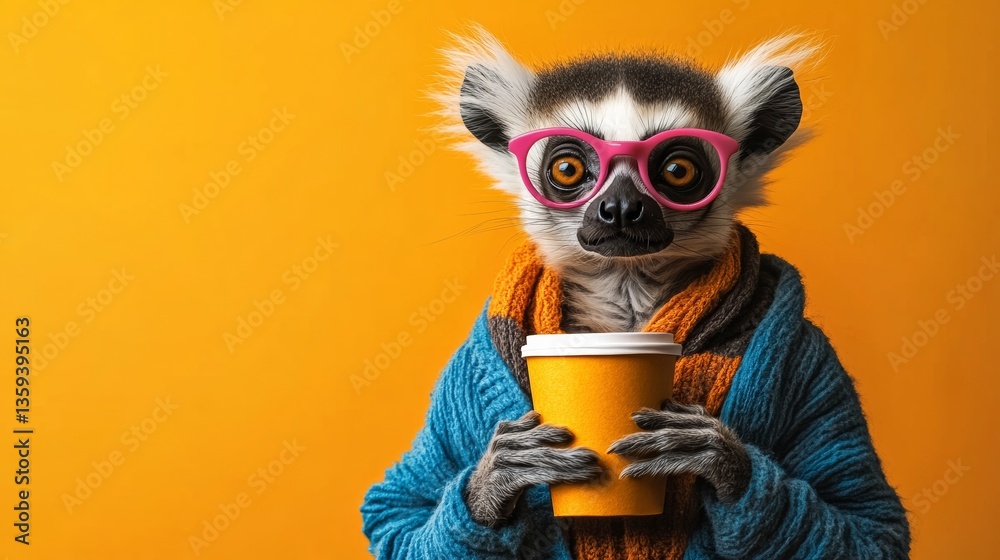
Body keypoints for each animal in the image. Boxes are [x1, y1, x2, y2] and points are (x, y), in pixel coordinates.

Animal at [362, 27, 910, 559]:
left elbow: (871, 525)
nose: (622, 208)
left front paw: (717, 455)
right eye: (567, 168)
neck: (626, 297)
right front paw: (503, 472)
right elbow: (397, 512)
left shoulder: (813, 358)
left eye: (678, 170)